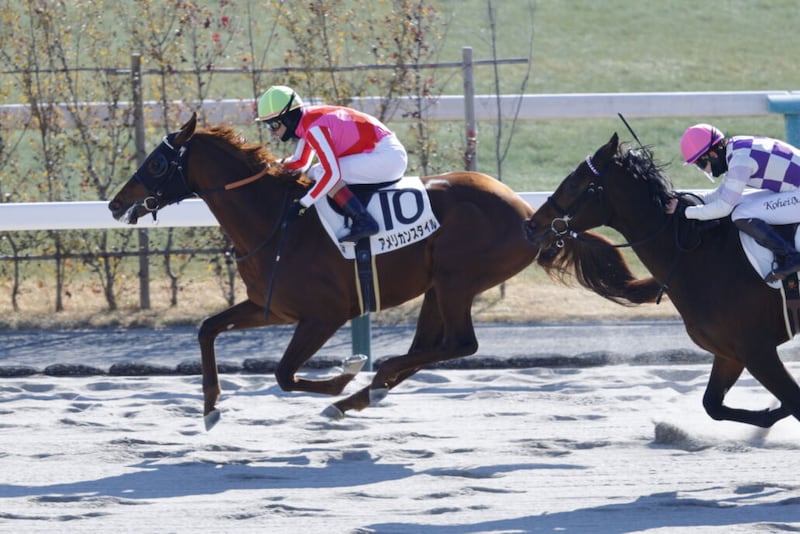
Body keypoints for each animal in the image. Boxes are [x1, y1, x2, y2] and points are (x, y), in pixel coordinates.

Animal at [108, 113, 545, 429]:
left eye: (158, 162)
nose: (115, 204)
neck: (275, 223)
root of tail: (527, 211)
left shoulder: (325, 315)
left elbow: (284, 374)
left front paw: (345, 375)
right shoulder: (272, 307)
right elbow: (207, 329)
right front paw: (211, 407)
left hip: (456, 280)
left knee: (460, 344)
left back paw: (368, 385)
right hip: (436, 287)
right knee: (426, 347)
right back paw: (369, 392)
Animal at [524, 132, 800, 428]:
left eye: (574, 182)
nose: (530, 225)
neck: (699, 255)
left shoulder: (757, 351)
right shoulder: (729, 352)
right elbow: (713, 405)